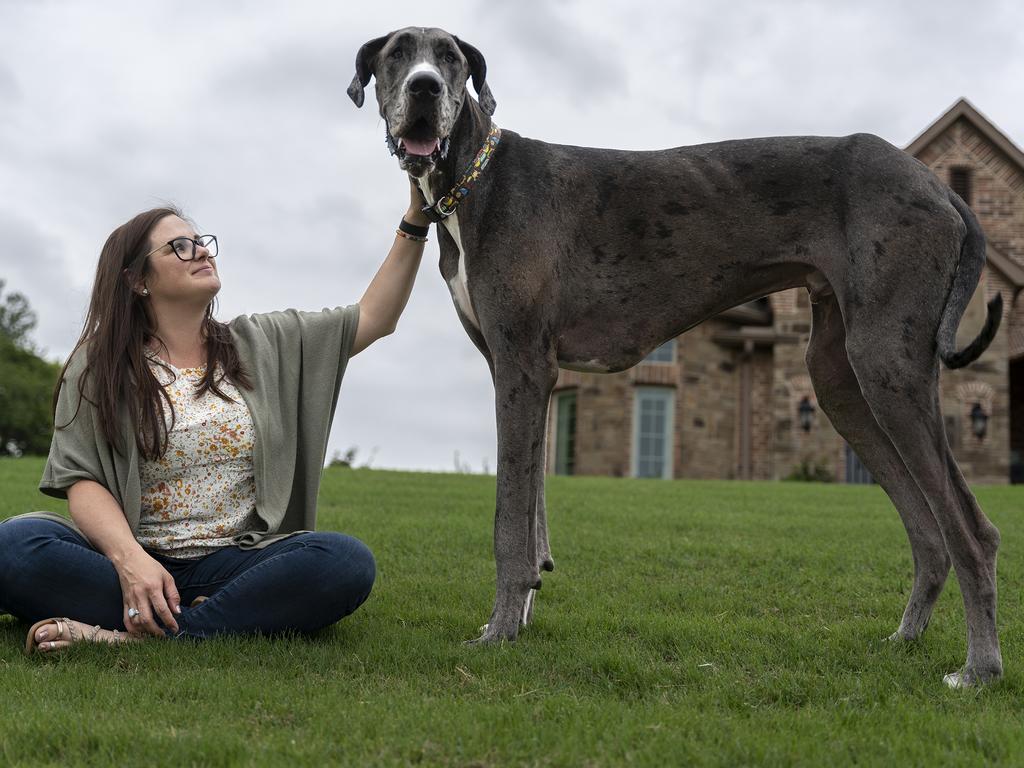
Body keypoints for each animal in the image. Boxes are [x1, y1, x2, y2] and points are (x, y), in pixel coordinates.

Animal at [348, 28, 1003, 692]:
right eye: (397, 55)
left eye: (450, 58)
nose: (424, 88)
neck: (474, 181)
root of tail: (941, 187)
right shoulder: (530, 377)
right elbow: (533, 512)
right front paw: (521, 615)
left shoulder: (522, 367)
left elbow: (510, 519)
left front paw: (499, 633)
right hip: (840, 380)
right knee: (929, 531)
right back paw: (905, 638)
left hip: (886, 365)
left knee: (972, 530)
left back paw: (979, 668)